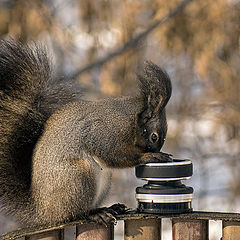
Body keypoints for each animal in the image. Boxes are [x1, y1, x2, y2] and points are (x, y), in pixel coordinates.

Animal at [0, 39, 172, 227]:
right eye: (154, 137)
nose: (154, 150)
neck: (130, 118)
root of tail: (44, 212)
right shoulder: (105, 132)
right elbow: (114, 155)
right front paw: (149, 157)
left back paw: (110, 208)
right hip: (78, 176)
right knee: (74, 214)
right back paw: (95, 214)